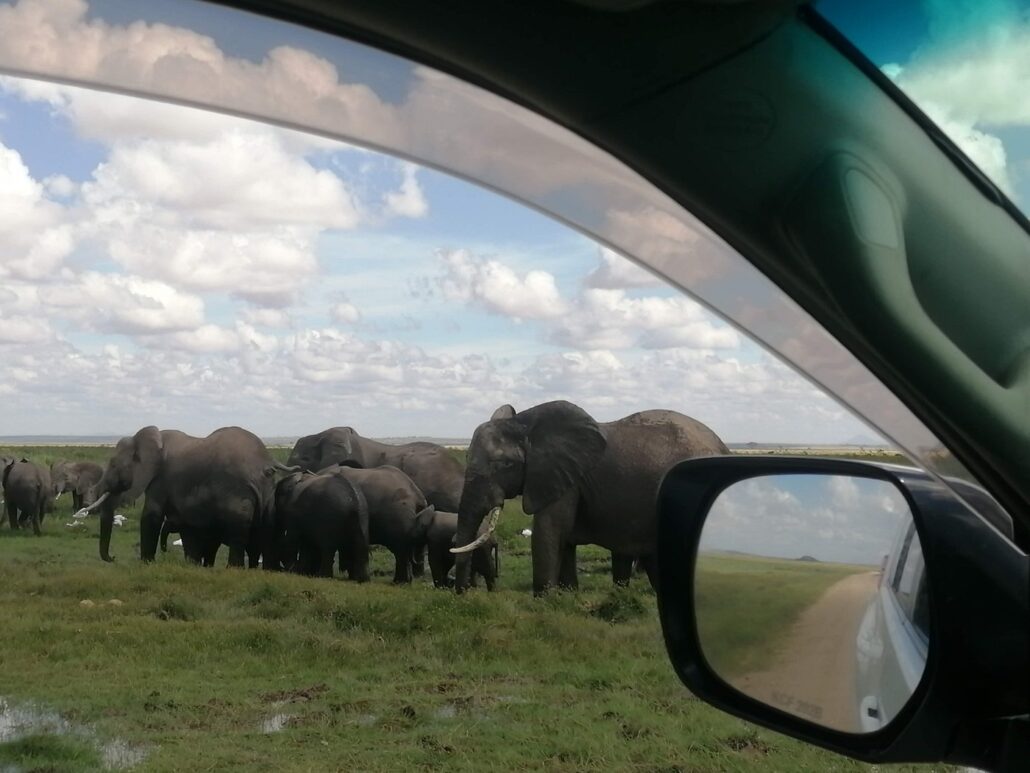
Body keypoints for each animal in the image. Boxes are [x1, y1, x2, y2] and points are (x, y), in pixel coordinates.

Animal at [76, 426, 290, 564]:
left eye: (113, 465)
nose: (113, 558)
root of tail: (268, 462)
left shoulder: (161, 479)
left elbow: (151, 516)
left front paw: (146, 564)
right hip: (267, 495)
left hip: (239, 492)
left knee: (238, 532)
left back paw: (233, 569)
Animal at [453, 401, 733, 597]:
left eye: (505, 465)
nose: (463, 594)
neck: (524, 423)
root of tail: (724, 447)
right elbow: (563, 539)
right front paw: (567, 598)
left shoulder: (565, 478)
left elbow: (549, 531)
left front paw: (543, 602)